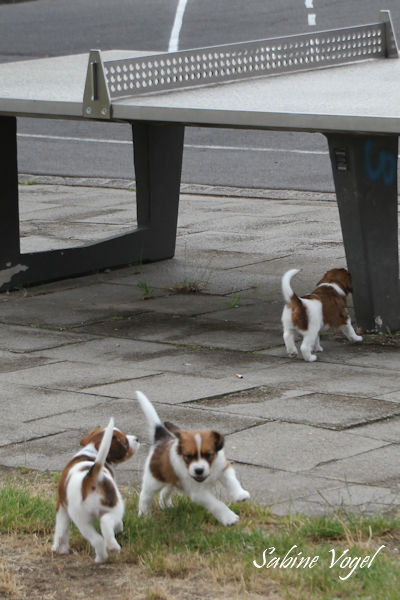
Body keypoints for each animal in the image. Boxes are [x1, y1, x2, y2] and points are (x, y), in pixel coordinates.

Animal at [52, 417, 139, 563]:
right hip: (114, 507)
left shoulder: (62, 507)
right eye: (125, 441)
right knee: (105, 524)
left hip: (82, 519)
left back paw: (102, 556)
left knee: (98, 538)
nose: (137, 438)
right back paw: (112, 547)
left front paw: (59, 548)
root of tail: (92, 477)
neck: (92, 452)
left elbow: (61, 530)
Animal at [136, 391, 250, 526]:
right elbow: (216, 503)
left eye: (208, 455)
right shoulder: (198, 492)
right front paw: (229, 517)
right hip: (153, 481)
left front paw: (240, 494)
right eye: (189, 456)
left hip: (173, 479)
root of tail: (161, 440)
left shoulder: (223, 468)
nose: (199, 470)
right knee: (145, 497)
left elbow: (232, 481)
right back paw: (144, 516)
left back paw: (166, 506)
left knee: (165, 492)